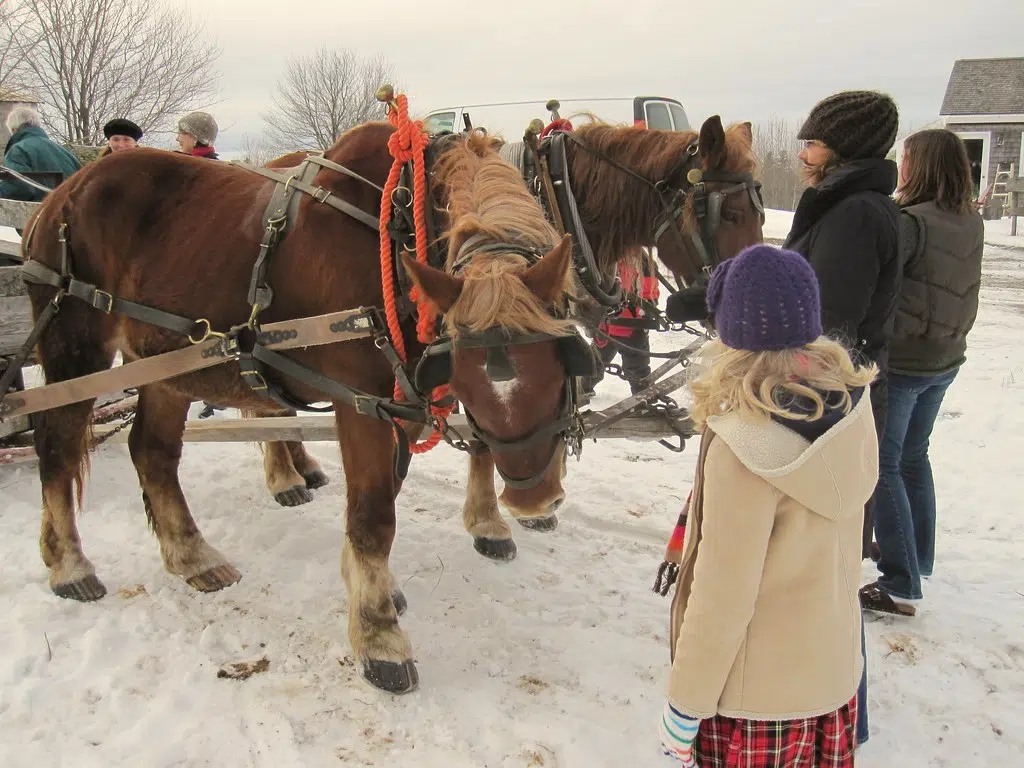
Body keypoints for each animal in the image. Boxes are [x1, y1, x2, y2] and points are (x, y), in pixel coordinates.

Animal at [25, 124, 577, 692]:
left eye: (566, 359)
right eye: (463, 374)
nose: (534, 501)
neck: (397, 228)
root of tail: (59, 195)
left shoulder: (395, 402)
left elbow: (384, 495)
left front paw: (372, 588)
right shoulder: (359, 399)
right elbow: (373, 514)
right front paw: (379, 636)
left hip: (162, 362)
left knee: (152, 451)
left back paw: (191, 556)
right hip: (76, 344)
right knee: (57, 443)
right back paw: (69, 565)